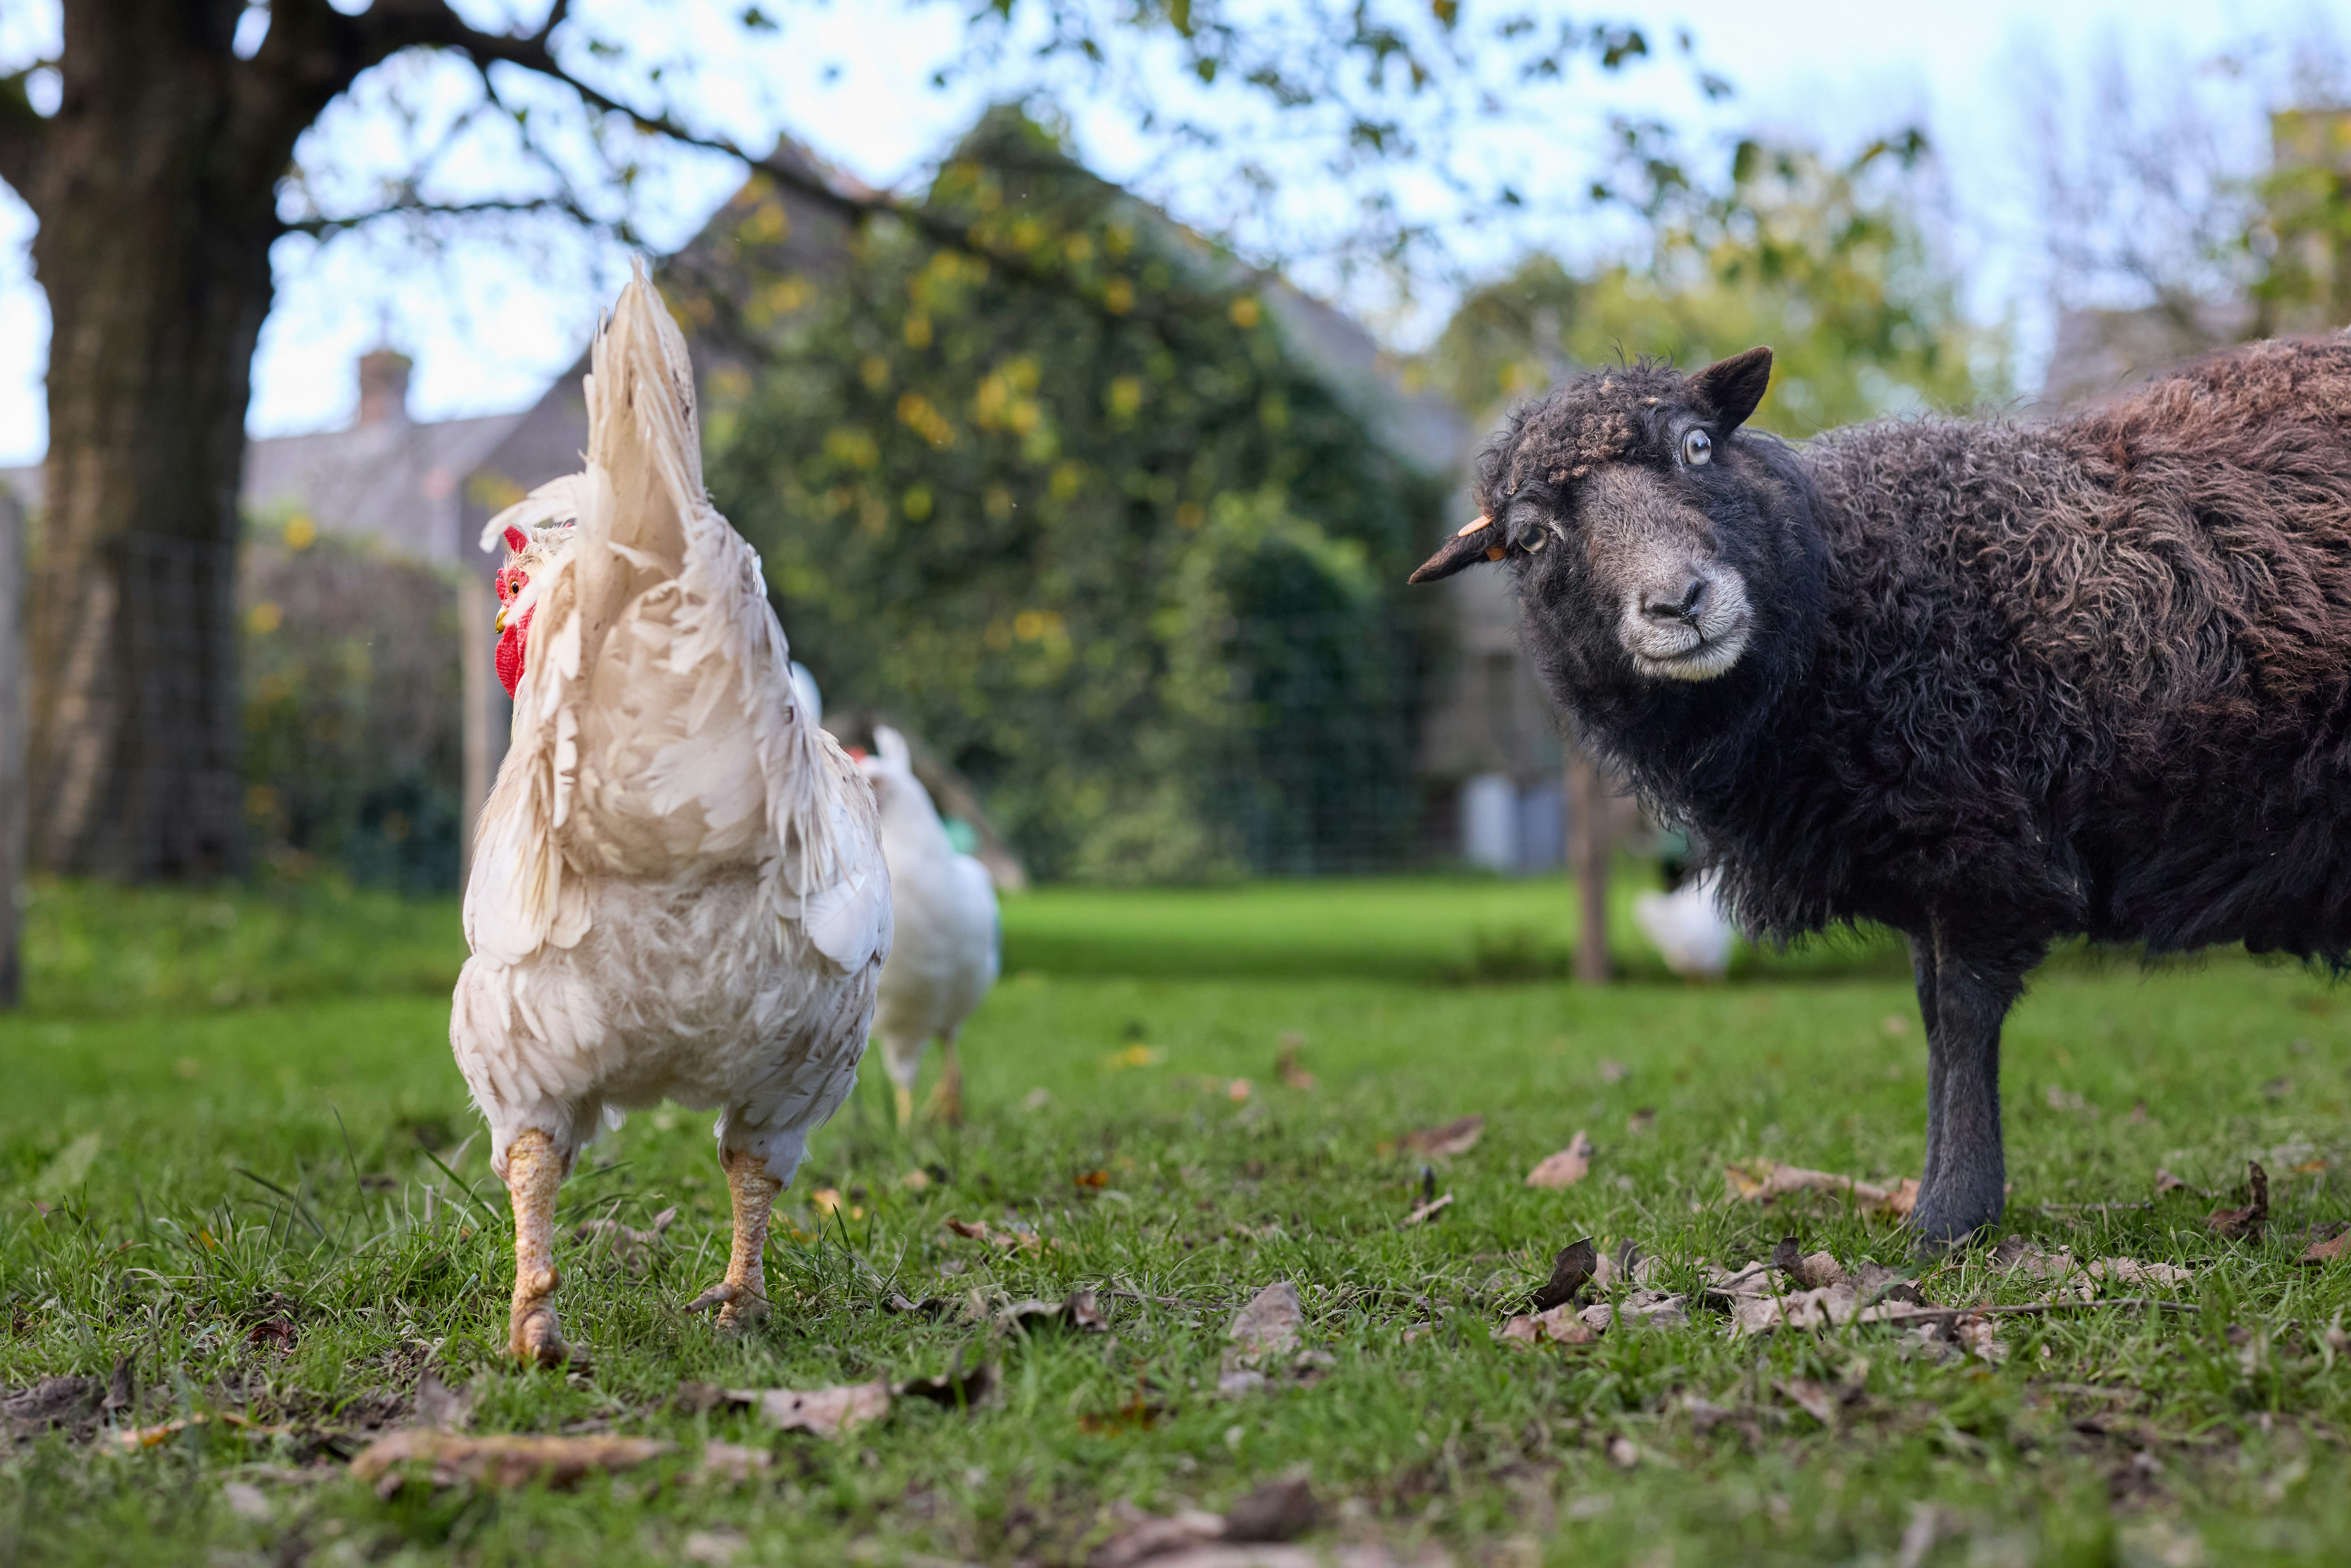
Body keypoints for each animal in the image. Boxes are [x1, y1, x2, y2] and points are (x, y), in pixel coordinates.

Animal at [1412, 338, 2351, 1251]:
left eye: (1697, 445)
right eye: (1532, 538)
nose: (1679, 603)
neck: (1848, 591)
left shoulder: (1981, 844)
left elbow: (1962, 1018)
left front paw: (1948, 1222)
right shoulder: (1923, 852)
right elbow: (1932, 1018)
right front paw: (1942, 1206)